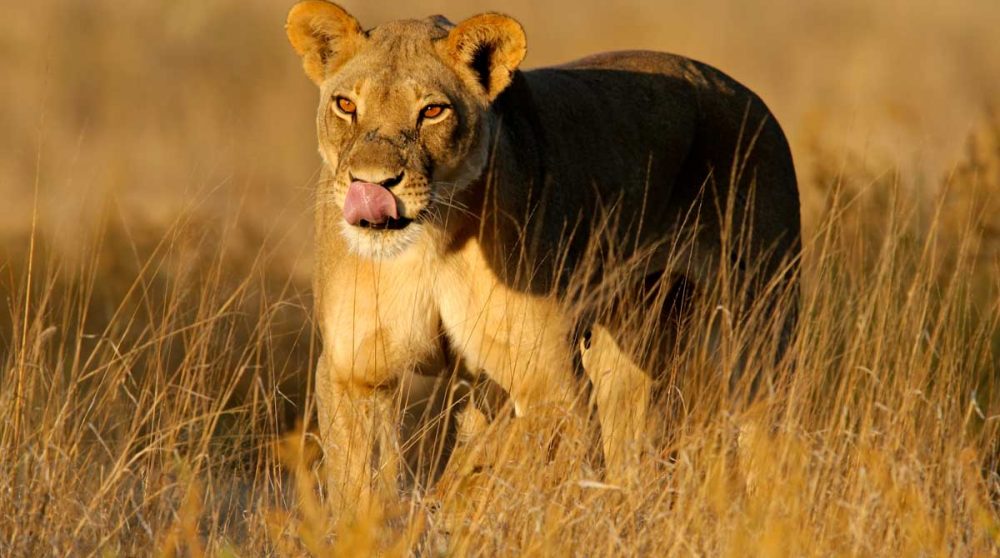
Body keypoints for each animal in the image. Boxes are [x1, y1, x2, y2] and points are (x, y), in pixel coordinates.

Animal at [285, 1, 800, 509]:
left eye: (432, 111)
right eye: (346, 105)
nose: (372, 183)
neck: (429, 242)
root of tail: (745, 94)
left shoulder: (548, 380)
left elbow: (507, 469)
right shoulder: (354, 371)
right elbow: (360, 489)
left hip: (760, 332)